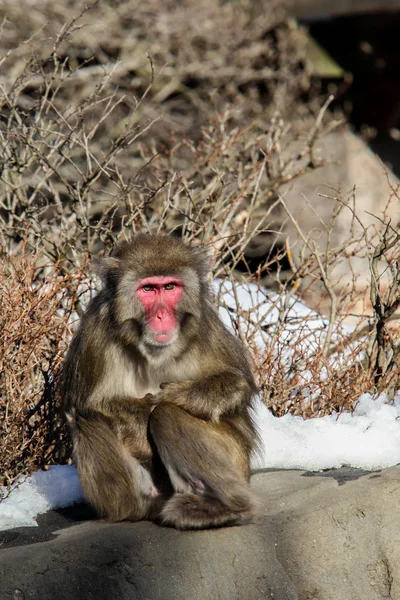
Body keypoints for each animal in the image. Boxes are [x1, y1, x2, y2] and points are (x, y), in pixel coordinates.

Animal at [60, 234, 258, 528]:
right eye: (149, 289)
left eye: (169, 287)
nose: (162, 315)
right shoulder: (92, 335)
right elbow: (89, 404)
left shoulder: (205, 324)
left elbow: (236, 382)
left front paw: (175, 396)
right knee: (86, 419)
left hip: (238, 460)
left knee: (167, 415)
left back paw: (227, 507)